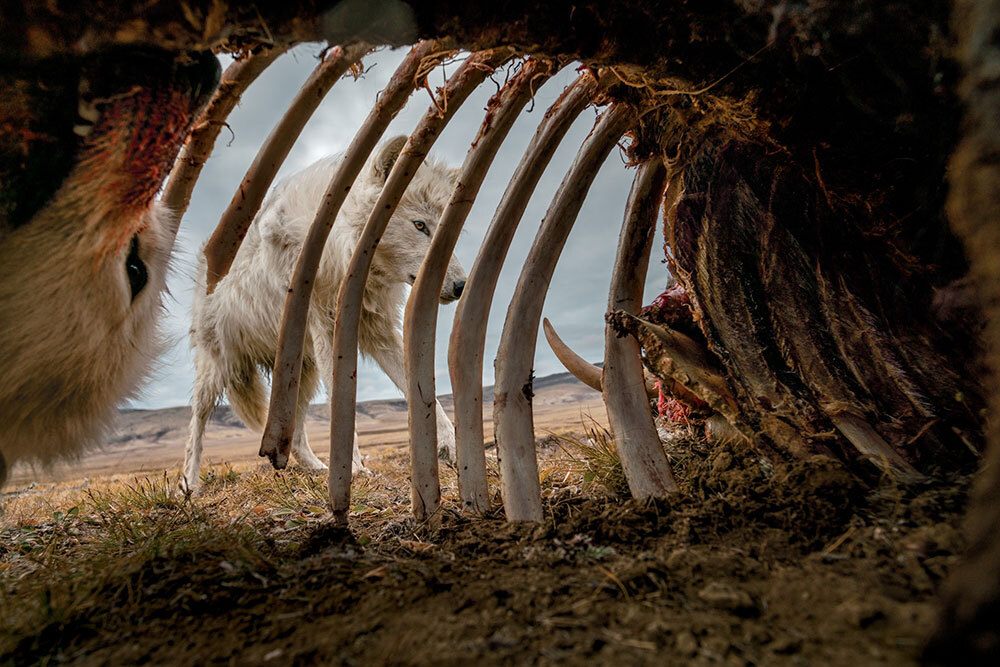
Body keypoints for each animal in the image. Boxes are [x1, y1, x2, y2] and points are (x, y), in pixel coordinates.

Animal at [182, 136, 466, 494]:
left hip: (303, 372)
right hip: (218, 370)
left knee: (295, 434)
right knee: (196, 425)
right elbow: (341, 405)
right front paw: (353, 471)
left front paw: (452, 447)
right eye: (419, 225)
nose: (461, 285)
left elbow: (426, 395)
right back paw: (189, 485)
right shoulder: (327, 329)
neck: (341, 254)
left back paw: (316, 468)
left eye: (447, 231)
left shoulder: (377, 332)